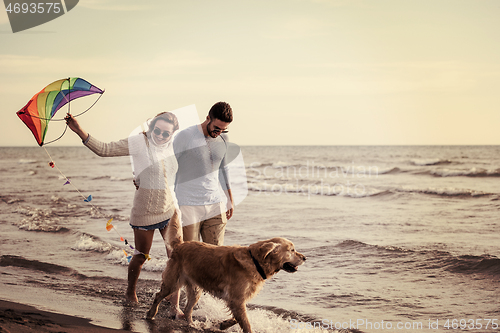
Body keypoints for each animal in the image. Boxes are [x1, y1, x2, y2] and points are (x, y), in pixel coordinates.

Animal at [146, 211, 306, 330]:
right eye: (292, 250)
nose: (305, 258)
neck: (255, 261)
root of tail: (180, 245)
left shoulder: (237, 300)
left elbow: (238, 318)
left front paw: (223, 324)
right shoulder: (236, 299)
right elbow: (246, 323)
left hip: (196, 289)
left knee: (187, 309)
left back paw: (193, 324)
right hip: (173, 282)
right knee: (158, 295)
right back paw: (150, 314)